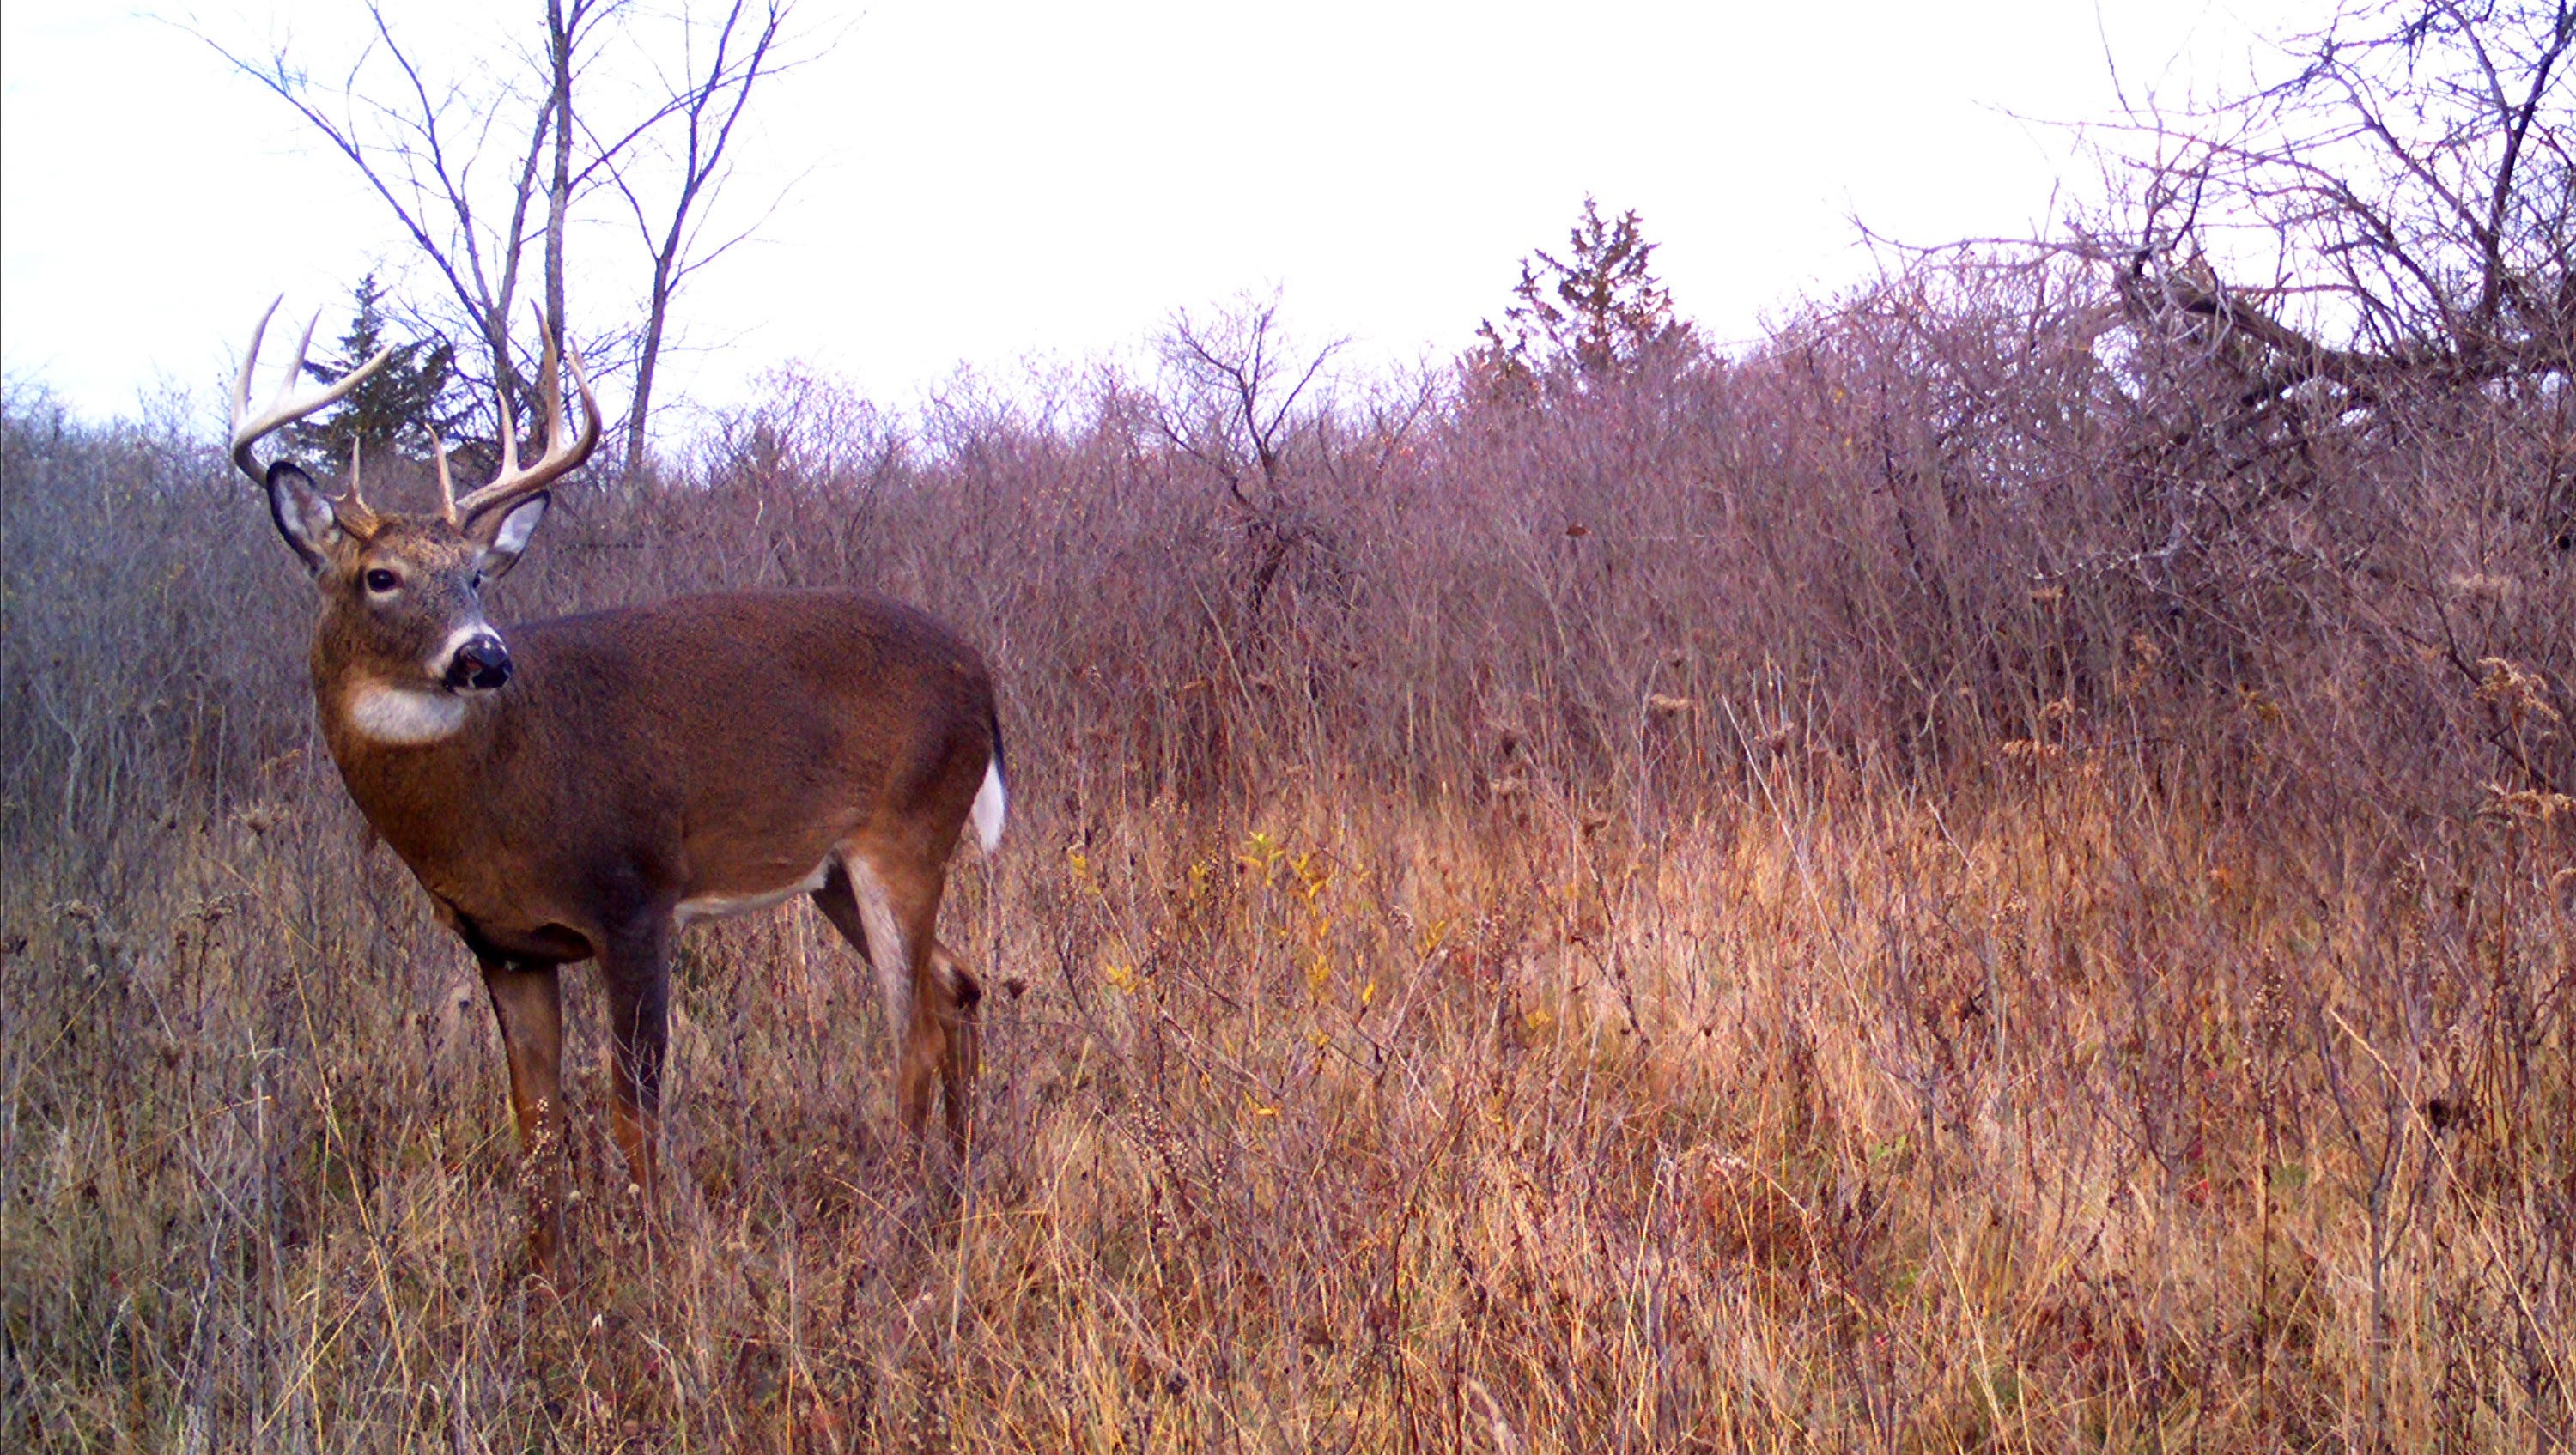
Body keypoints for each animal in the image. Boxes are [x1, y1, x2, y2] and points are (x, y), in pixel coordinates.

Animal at [232, 304, 999, 1272]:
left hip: (906, 833)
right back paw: (958, 1187)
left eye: (475, 575)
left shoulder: (634, 899)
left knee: (915, 1027)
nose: (484, 655)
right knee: (958, 987)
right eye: (380, 577)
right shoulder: (505, 945)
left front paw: (653, 1262)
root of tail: (981, 678)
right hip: (833, 875)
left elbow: (634, 1109)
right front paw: (543, 1275)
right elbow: (536, 1122)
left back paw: (895, 1225)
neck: (492, 804)